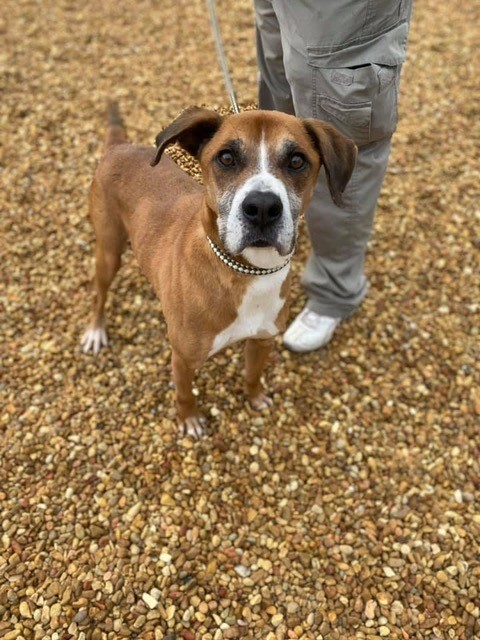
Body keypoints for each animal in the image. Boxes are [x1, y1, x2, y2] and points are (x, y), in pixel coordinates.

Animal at [80, 104, 356, 436]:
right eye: (226, 158)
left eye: (296, 160)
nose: (262, 207)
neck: (247, 272)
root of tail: (121, 146)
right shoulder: (183, 357)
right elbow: (185, 393)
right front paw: (189, 420)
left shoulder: (262, 340)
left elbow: (252, 374)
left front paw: (255, 398)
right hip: (108, 251)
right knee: (99, 294)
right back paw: (95, 332)